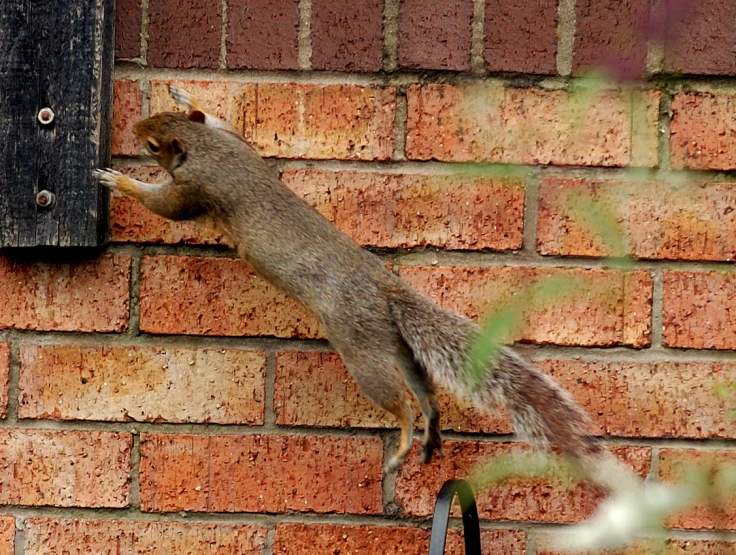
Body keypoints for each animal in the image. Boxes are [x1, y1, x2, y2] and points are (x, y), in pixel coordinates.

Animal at [92, 87, 640, 496]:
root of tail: (383, 287)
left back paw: (402, 443)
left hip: (360, 347)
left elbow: (165, 205)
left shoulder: (195, 189)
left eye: (154, 146)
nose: (136, 130)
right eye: (161, 120)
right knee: (424, 390)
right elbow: (233, 126)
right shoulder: (235, 144)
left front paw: (120, 182)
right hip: (393, 344)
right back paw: (432, 427)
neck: (204, 149)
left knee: (400, 403)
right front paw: (190, 93)